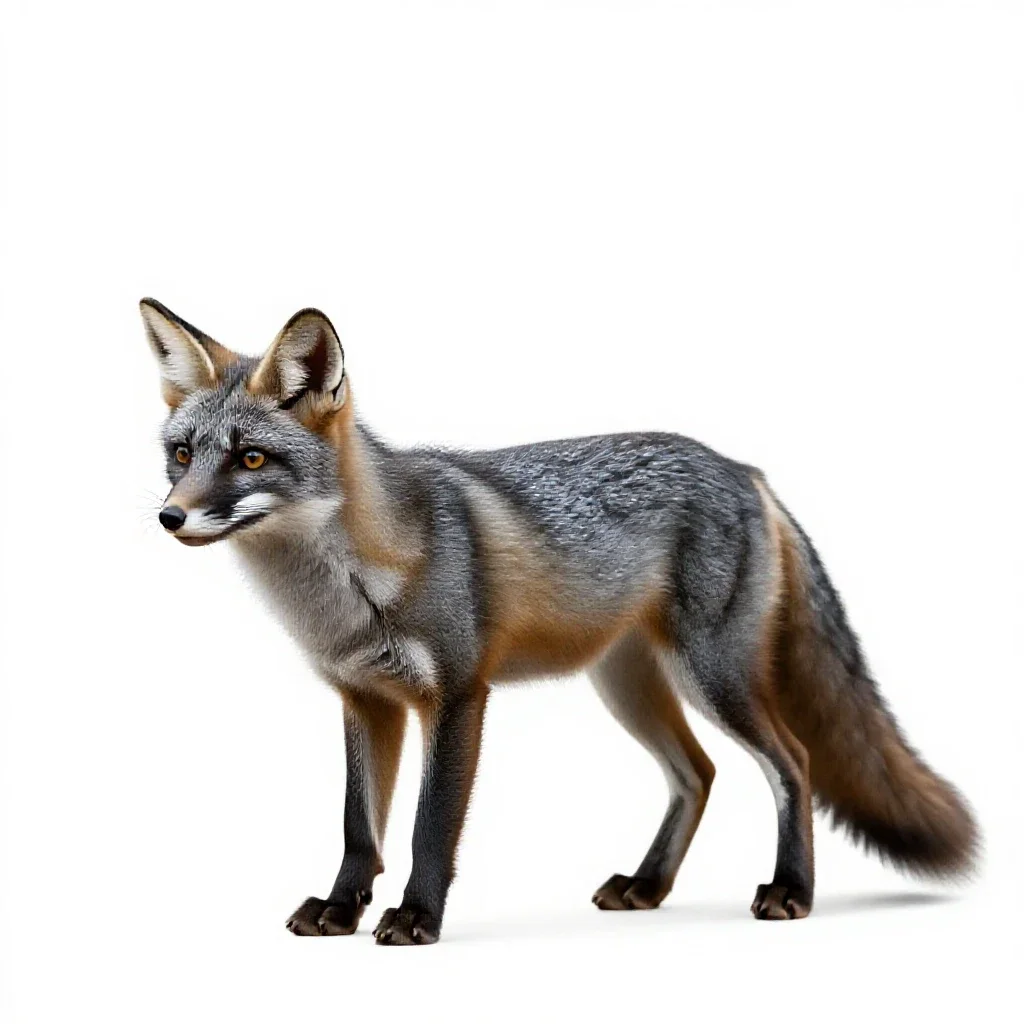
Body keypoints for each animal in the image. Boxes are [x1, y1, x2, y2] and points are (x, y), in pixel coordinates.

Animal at [142, 297, 978, 945]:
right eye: (181, 454)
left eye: (250, 460)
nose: (169, 517)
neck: (348, 588)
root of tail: (743, 469)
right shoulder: (365, 700)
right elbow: (358, 828)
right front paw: (342, 910)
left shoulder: (457, 695)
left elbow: (427, 826)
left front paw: (416, 918)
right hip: (627, 686)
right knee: (699, 774)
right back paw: (647, 886)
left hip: (713, 678)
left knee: (793, 764)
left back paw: (792, 891)